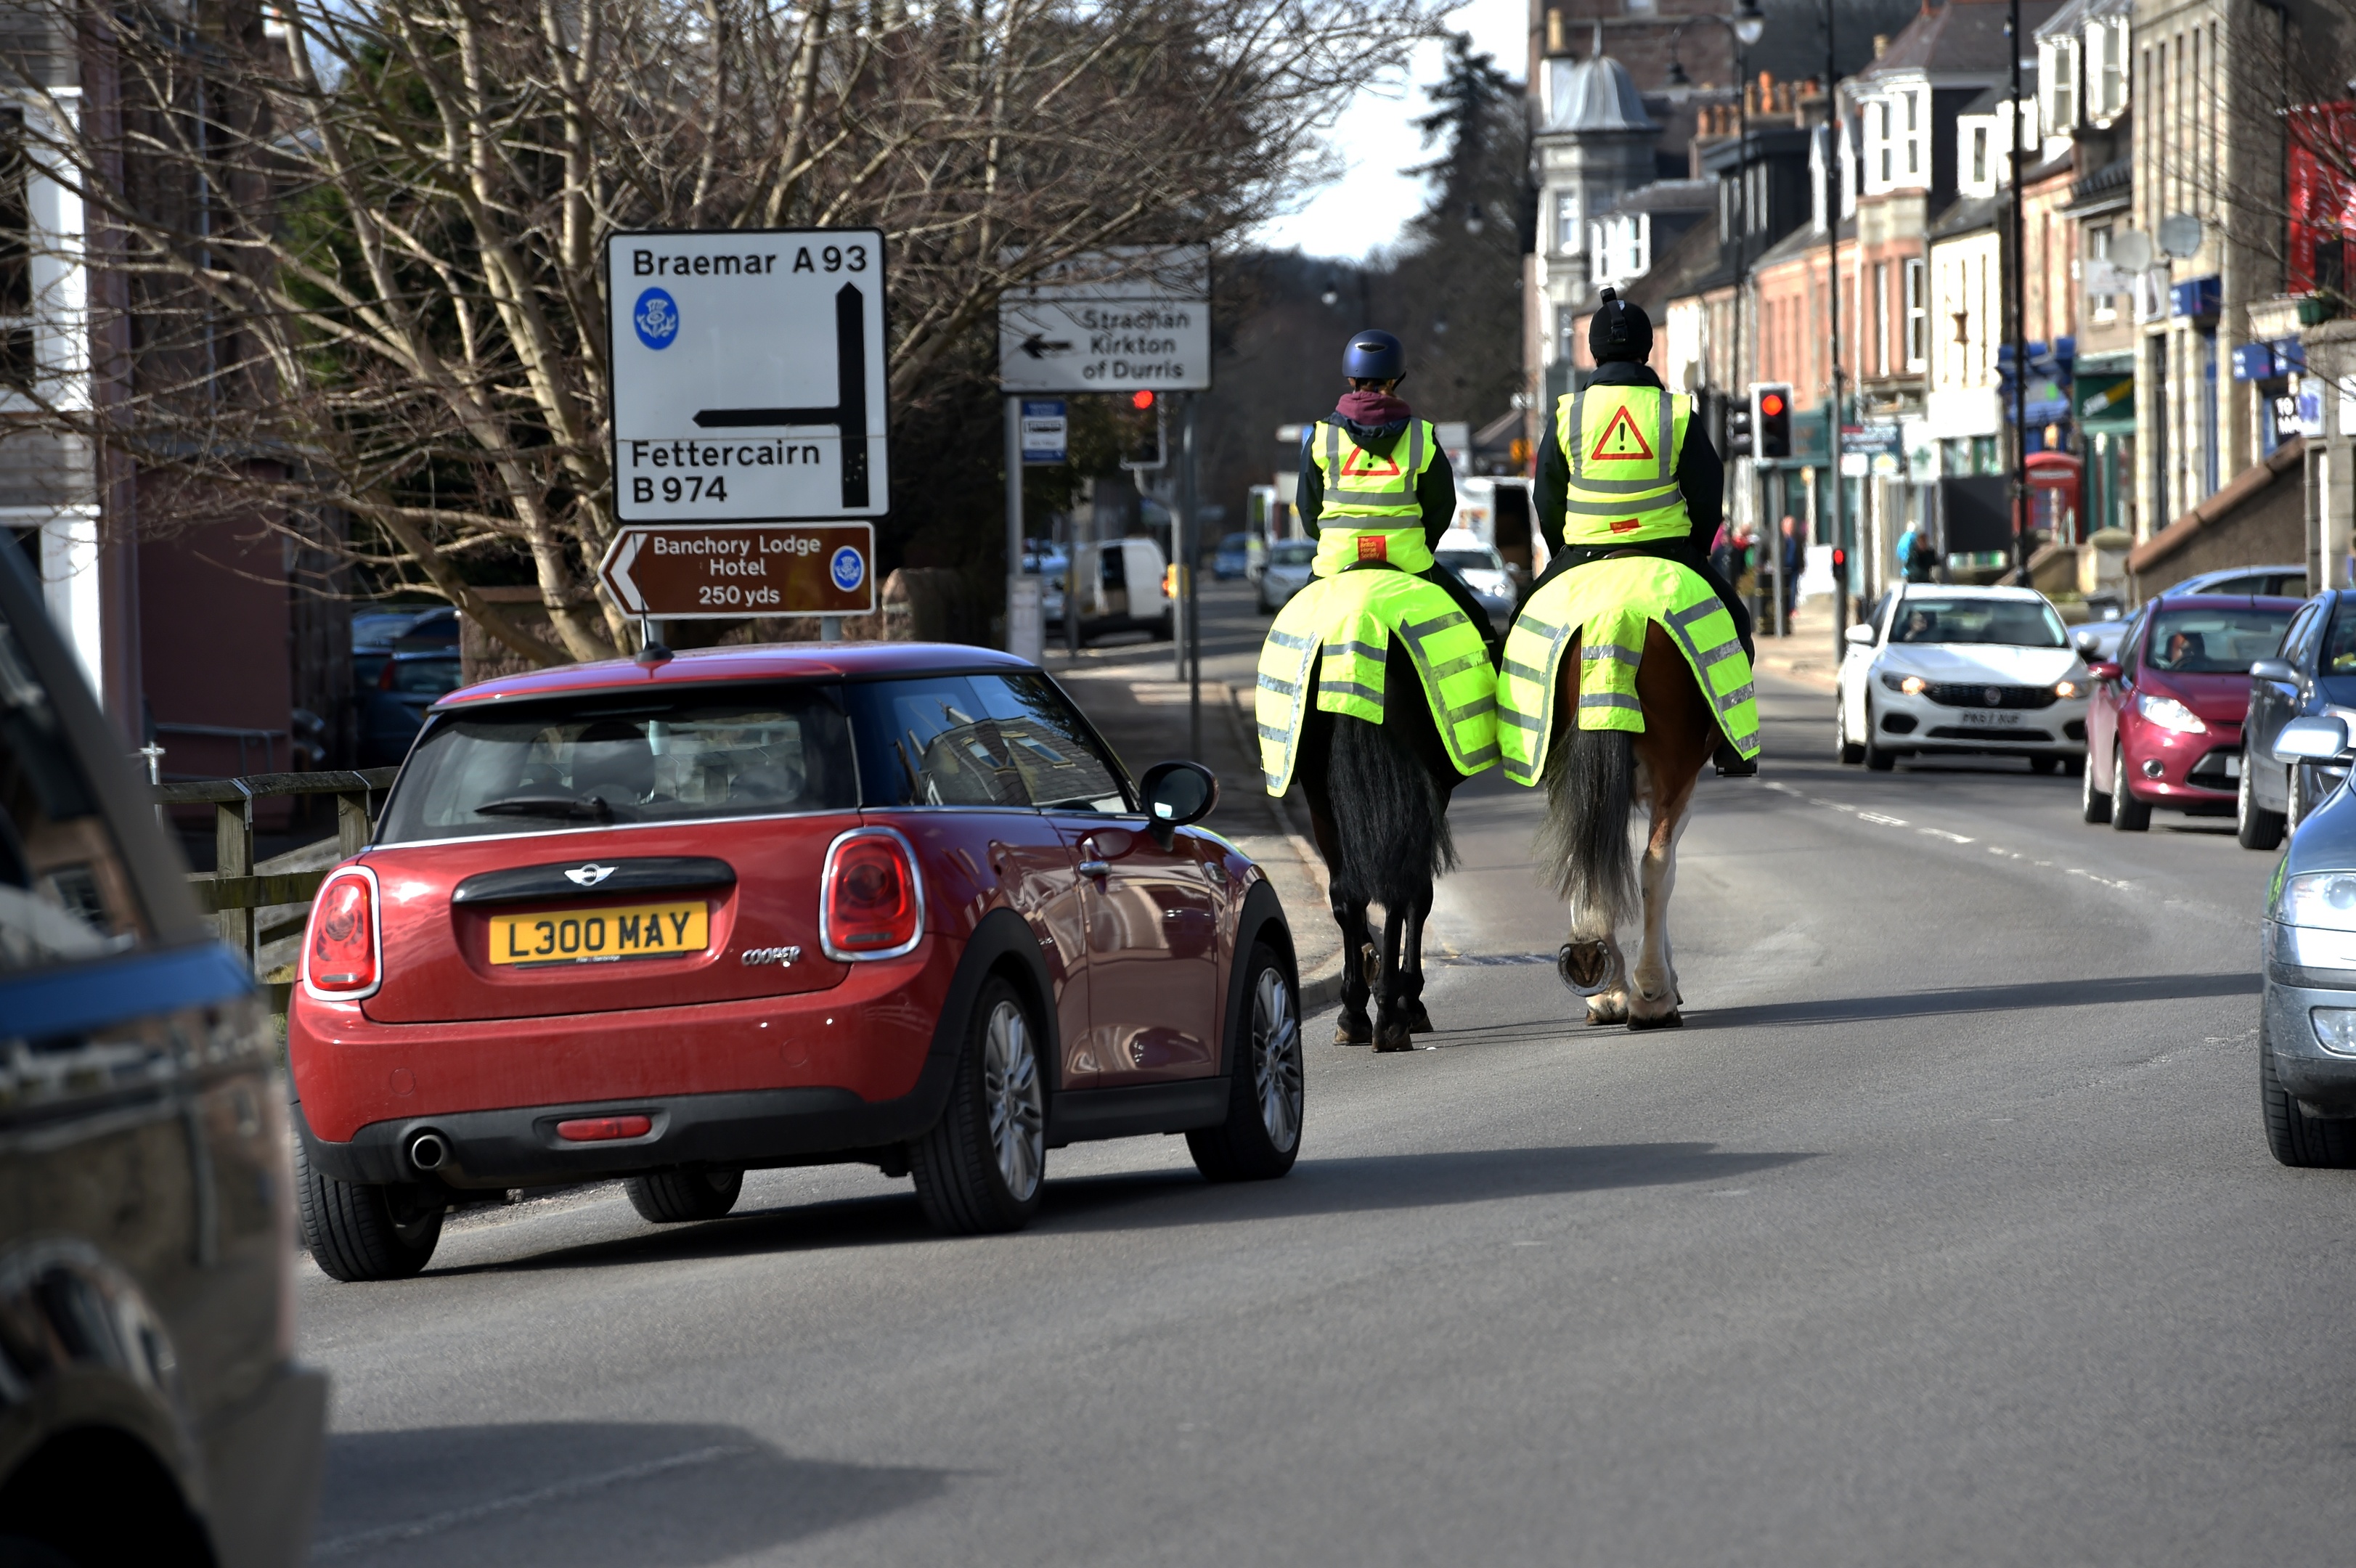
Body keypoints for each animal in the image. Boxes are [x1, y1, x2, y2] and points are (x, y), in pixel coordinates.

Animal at [1536, 616, 1724, 1031]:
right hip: (1675, 775)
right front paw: (1666, 981)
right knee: (1656, 865)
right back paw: (1654, 996)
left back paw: (1602, 982)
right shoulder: (1678, 786)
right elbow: (1664, 870)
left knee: (1581, 855)